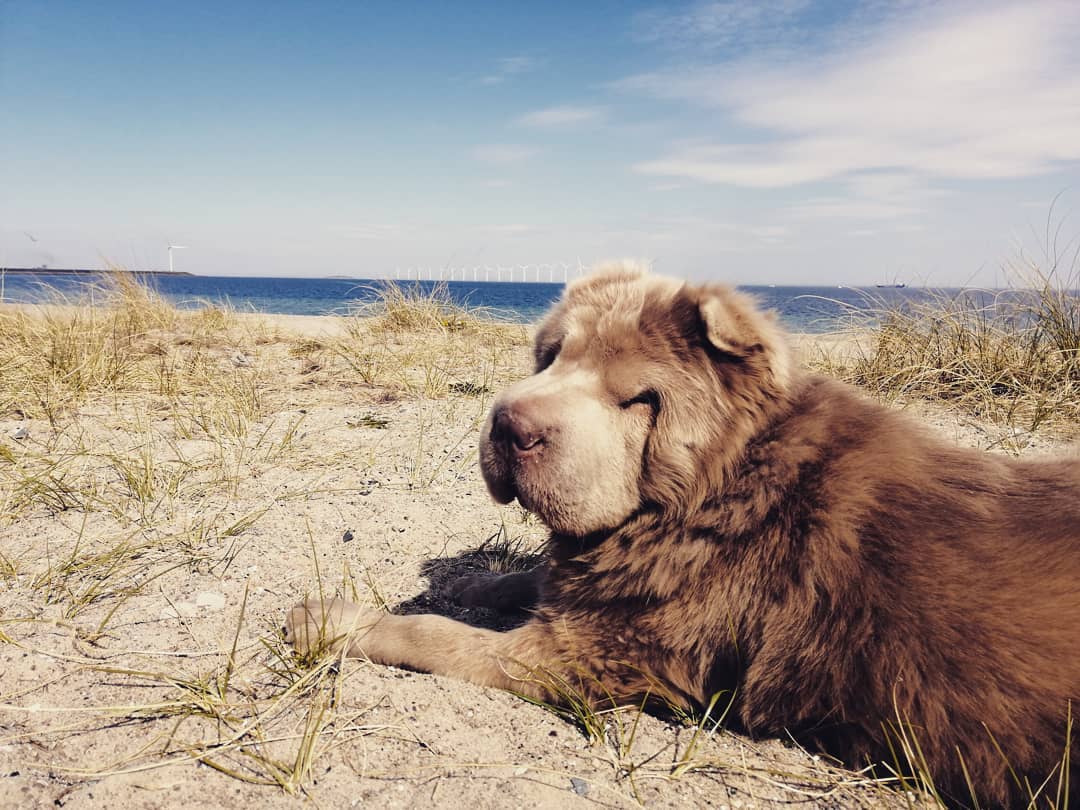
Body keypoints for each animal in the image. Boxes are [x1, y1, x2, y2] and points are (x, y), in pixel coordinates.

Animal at [285, 263, 1080, 807]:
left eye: (639, 399)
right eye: (551, 357)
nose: (509, 424)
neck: (719, 484)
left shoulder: (586, 657)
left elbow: (434, 635)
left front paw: (329, 619)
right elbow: (526, 576)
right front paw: (475, 578)